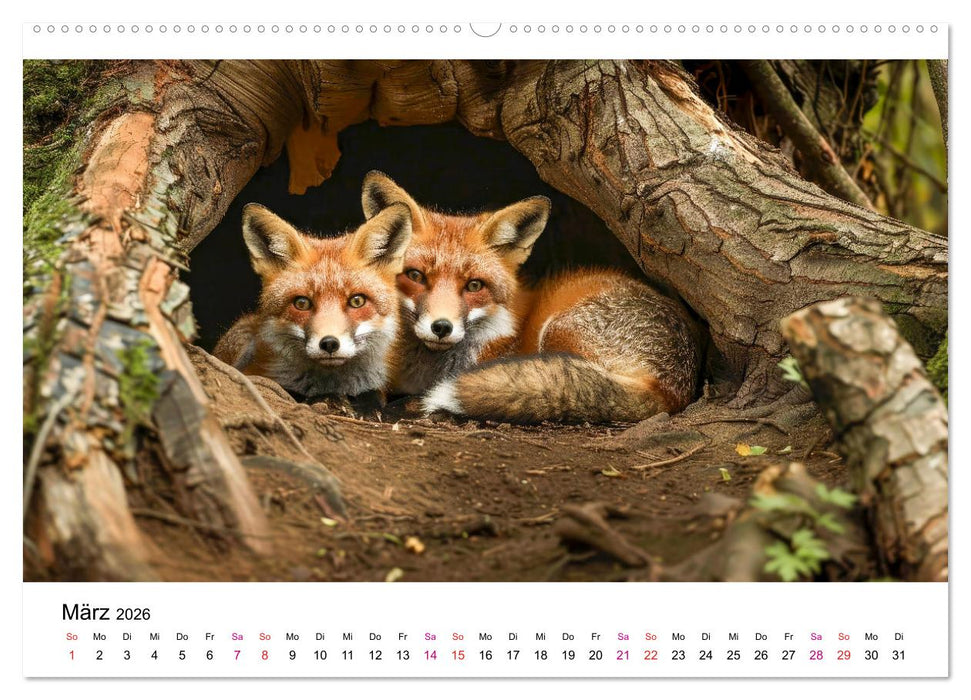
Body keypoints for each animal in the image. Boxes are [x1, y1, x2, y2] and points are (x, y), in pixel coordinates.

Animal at [361, 171, 702, 424]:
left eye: (474, 285)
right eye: (416, 276)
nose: (441, 327)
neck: (423, 368)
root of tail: (670, 390)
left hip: (556, 330)